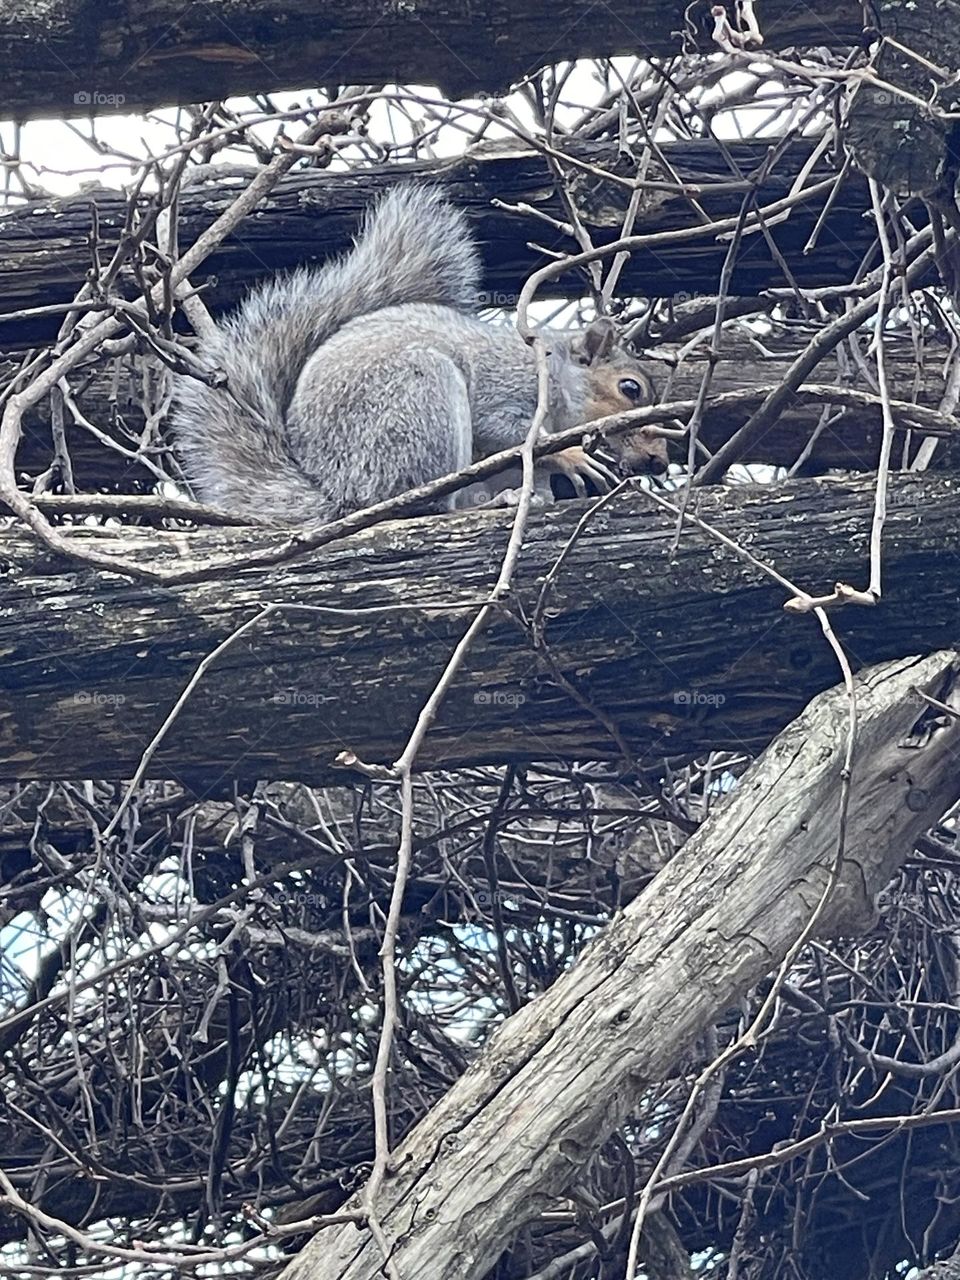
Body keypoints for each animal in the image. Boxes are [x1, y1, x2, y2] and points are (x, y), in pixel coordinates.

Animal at [172, 185, 666, 524]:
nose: (659, 460)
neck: (558, 374)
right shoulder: (509, 383)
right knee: (427, 504)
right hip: (417, 405)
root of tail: (339, 493)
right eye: (630, 389)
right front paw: (571, 457)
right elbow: (499, 429)